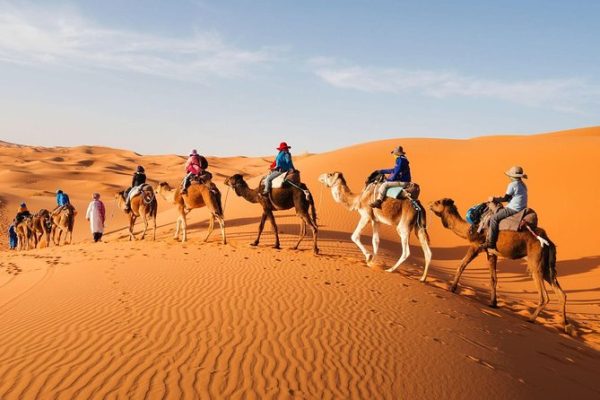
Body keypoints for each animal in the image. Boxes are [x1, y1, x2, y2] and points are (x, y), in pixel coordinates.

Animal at [428, 198, 568, 332]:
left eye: (438, 202)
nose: (429, 204)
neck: (469, 230)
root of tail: (548, 241)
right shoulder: (491, 253)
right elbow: (493, 278)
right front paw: (493, 303)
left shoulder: (475, 246)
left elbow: (461, 265)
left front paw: (452, 288)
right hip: (546, 266)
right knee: (561, 294)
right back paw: (565, 326)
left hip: (535, 262)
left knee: (544, 295)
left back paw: (531, 319)